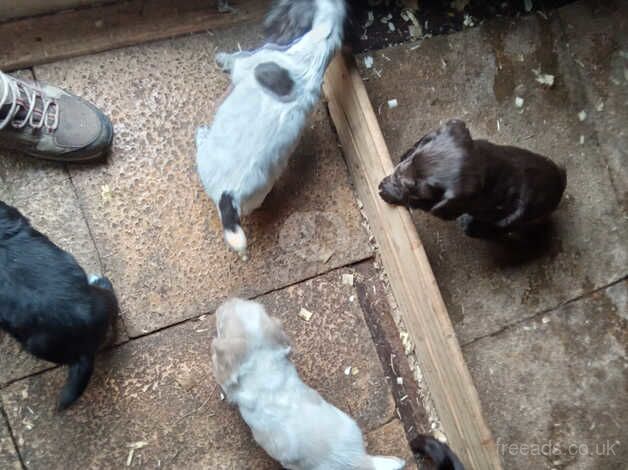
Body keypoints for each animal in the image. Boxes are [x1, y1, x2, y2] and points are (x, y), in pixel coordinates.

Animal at [196, 0, 346, 258]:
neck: (316, 50)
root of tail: (230, 196)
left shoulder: (247, 63)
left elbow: (236, 59)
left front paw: (222, 58)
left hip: (205, 160)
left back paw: (201, 134)